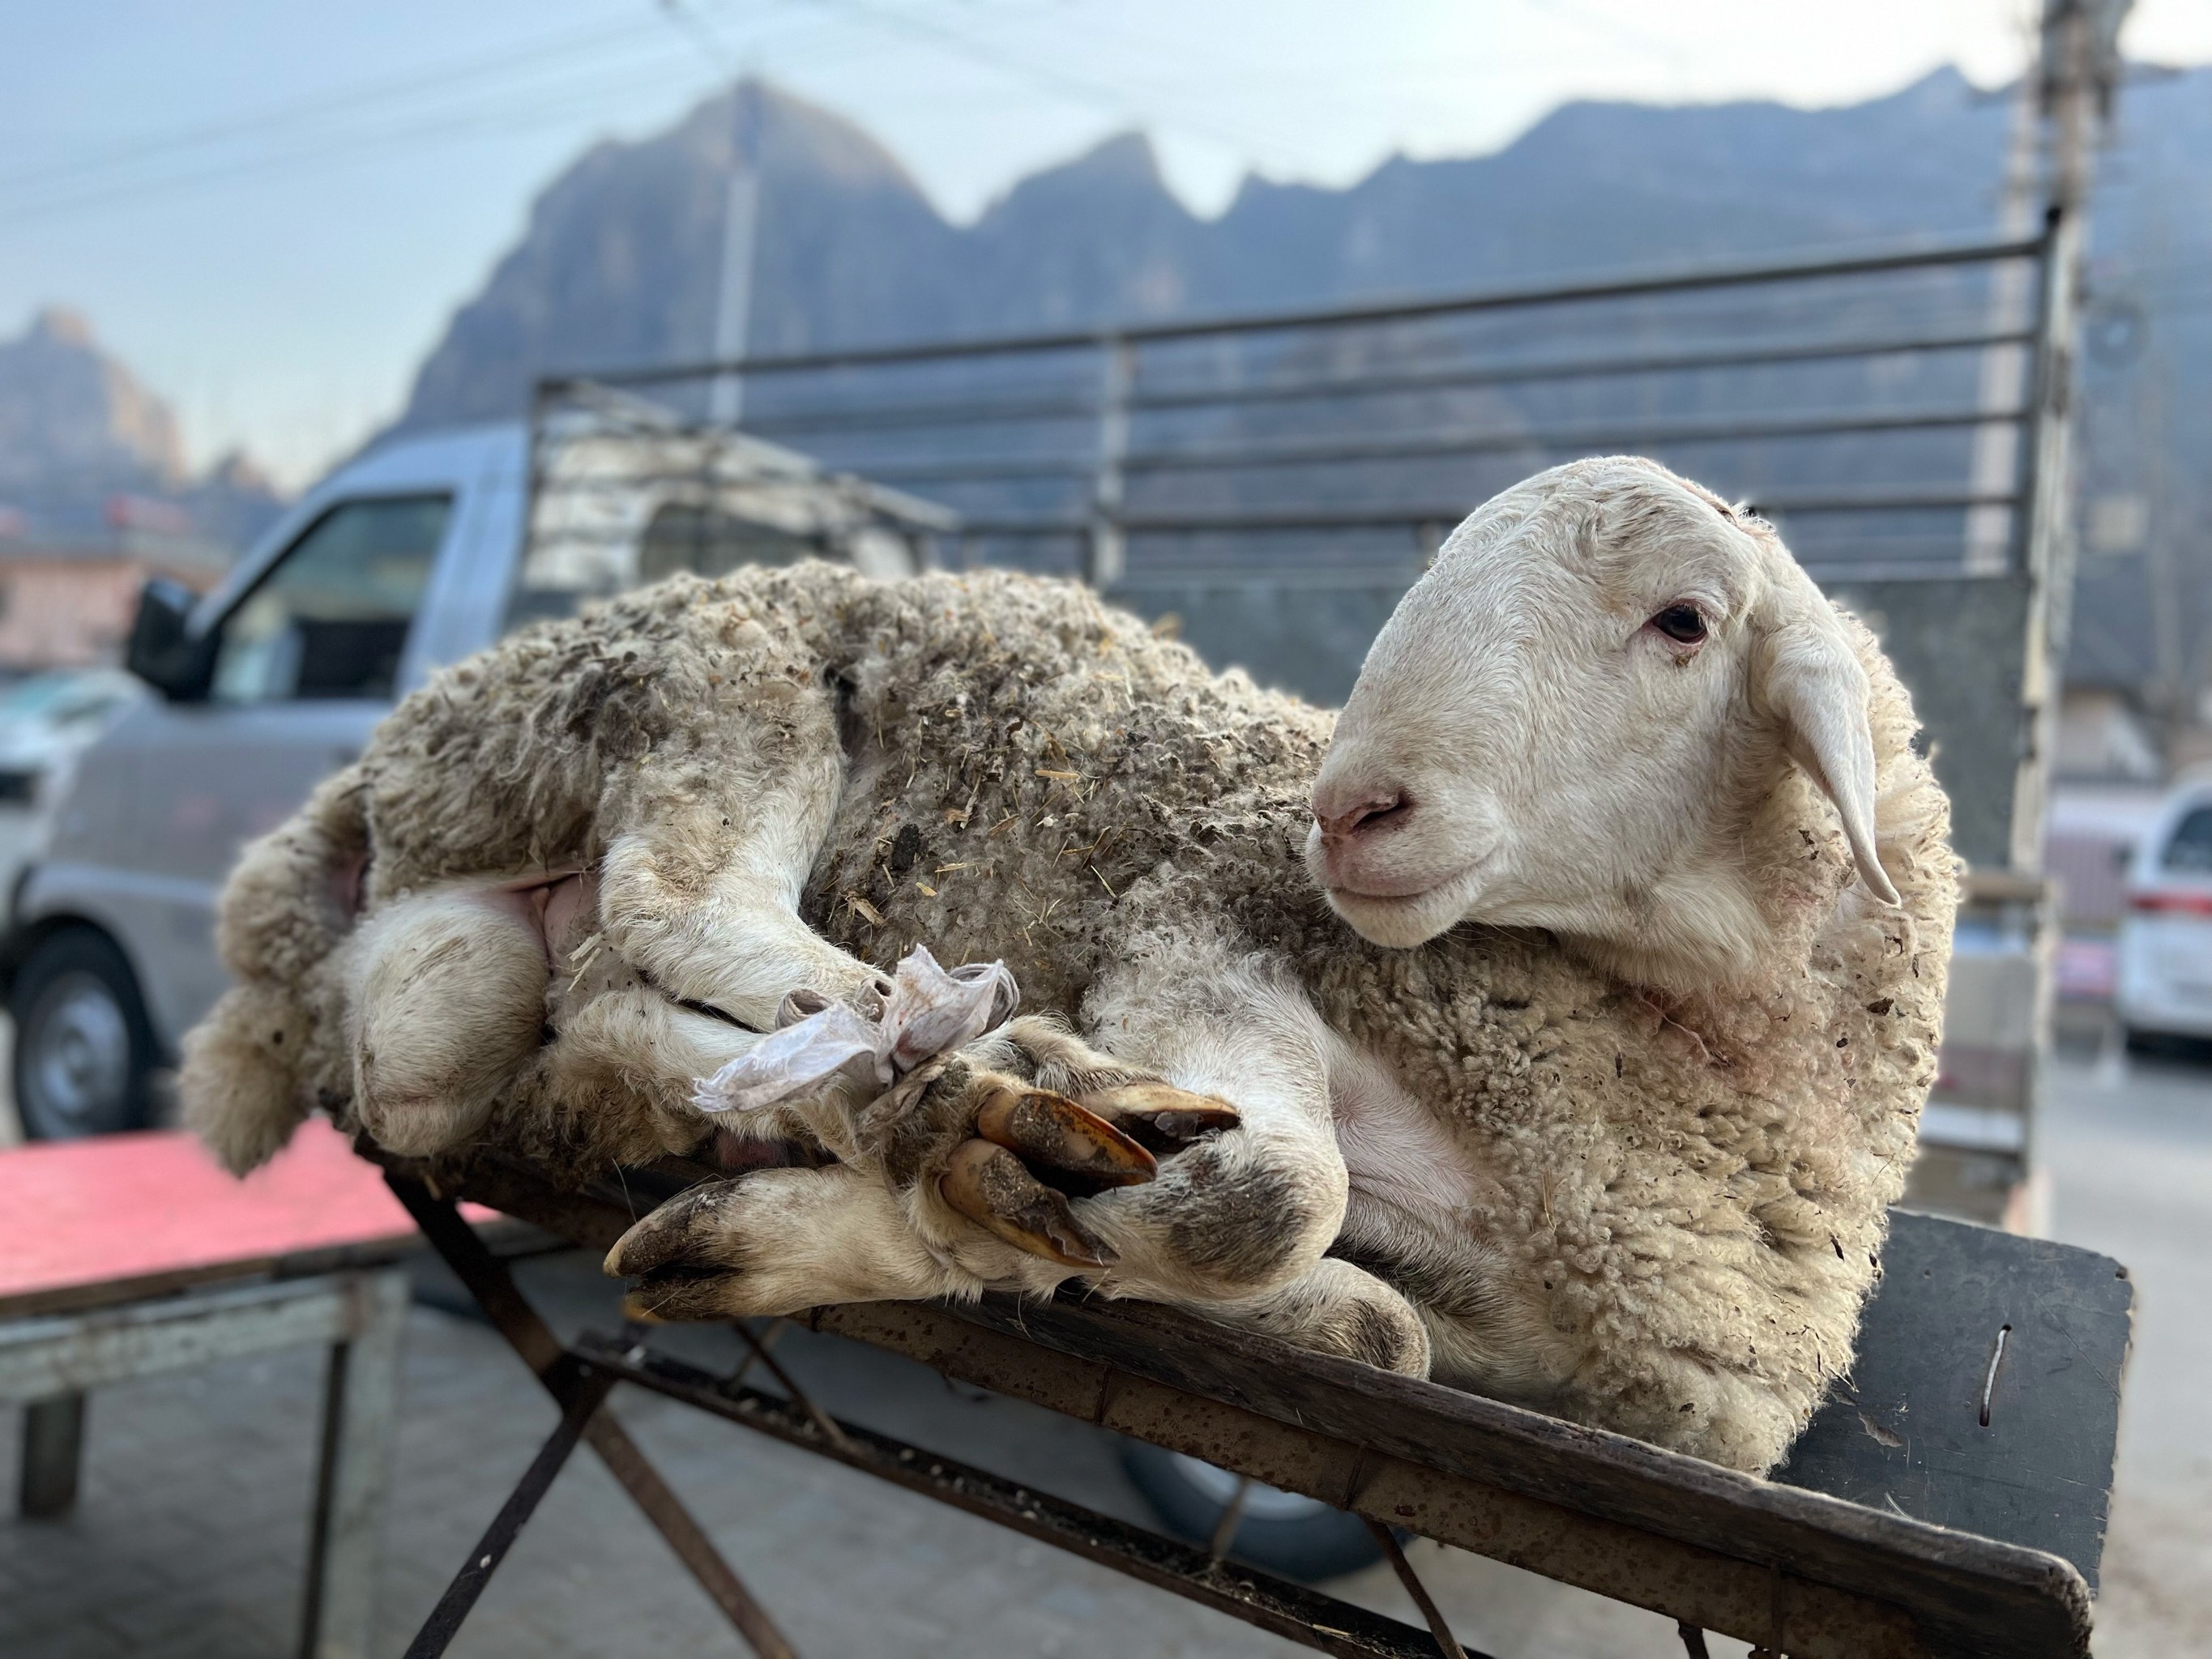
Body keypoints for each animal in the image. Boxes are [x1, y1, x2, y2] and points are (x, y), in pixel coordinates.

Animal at [186, 458, 1955, 1478]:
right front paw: (1015, 1137)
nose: (1346, 810)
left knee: (567, 1018)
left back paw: (855, 1097)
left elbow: (1378, 1333)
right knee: (676, 903)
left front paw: (906, 1213)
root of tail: (370, 779)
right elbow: (1283, 1195)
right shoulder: (1200, 920)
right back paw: (918, 1042)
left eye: (1682, 622)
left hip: (471, 987)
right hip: (728, 678)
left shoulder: (1546, 1359)